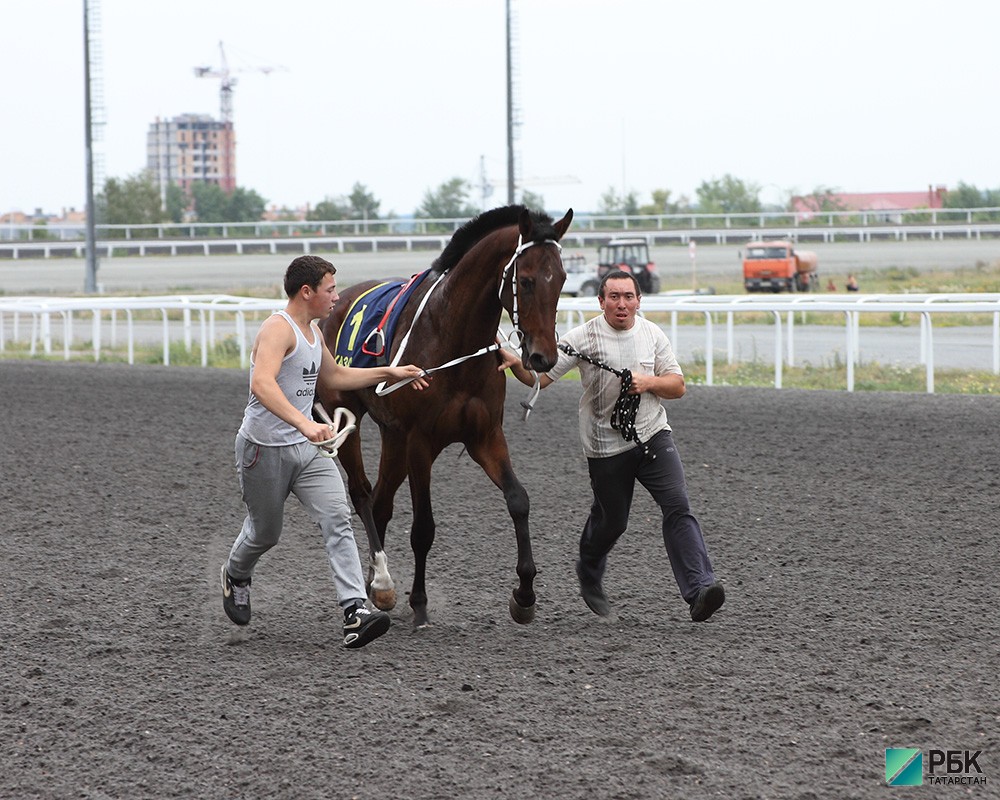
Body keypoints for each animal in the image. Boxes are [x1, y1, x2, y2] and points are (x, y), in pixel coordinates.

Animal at [316, 205, 576, 624]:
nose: (544, 357)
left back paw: (374, 582)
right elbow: (423, 528)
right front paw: (419, 602)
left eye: (563, 279)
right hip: (351, 418)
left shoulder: (485, 436)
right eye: (527, 280)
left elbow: (518, 500)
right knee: (362, 494)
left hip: (393, 435)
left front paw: (524, 595)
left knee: (381, 502)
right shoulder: (420, 441)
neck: (452, 338)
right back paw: (383, 583)